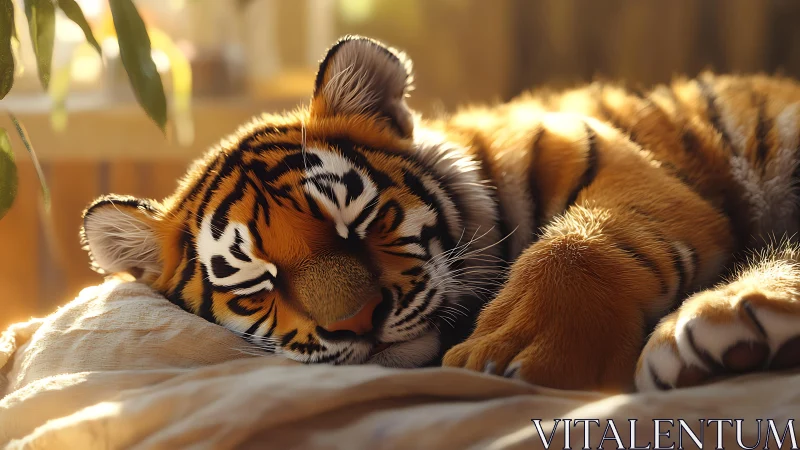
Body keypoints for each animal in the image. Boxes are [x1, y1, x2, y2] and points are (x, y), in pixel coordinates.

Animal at [80, 35, 800, 392]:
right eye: (257, 280)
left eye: (356, 218)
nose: (357, 324)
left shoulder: (615, 163)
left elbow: (577, 243)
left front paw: (514, 355)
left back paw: (718, 332)